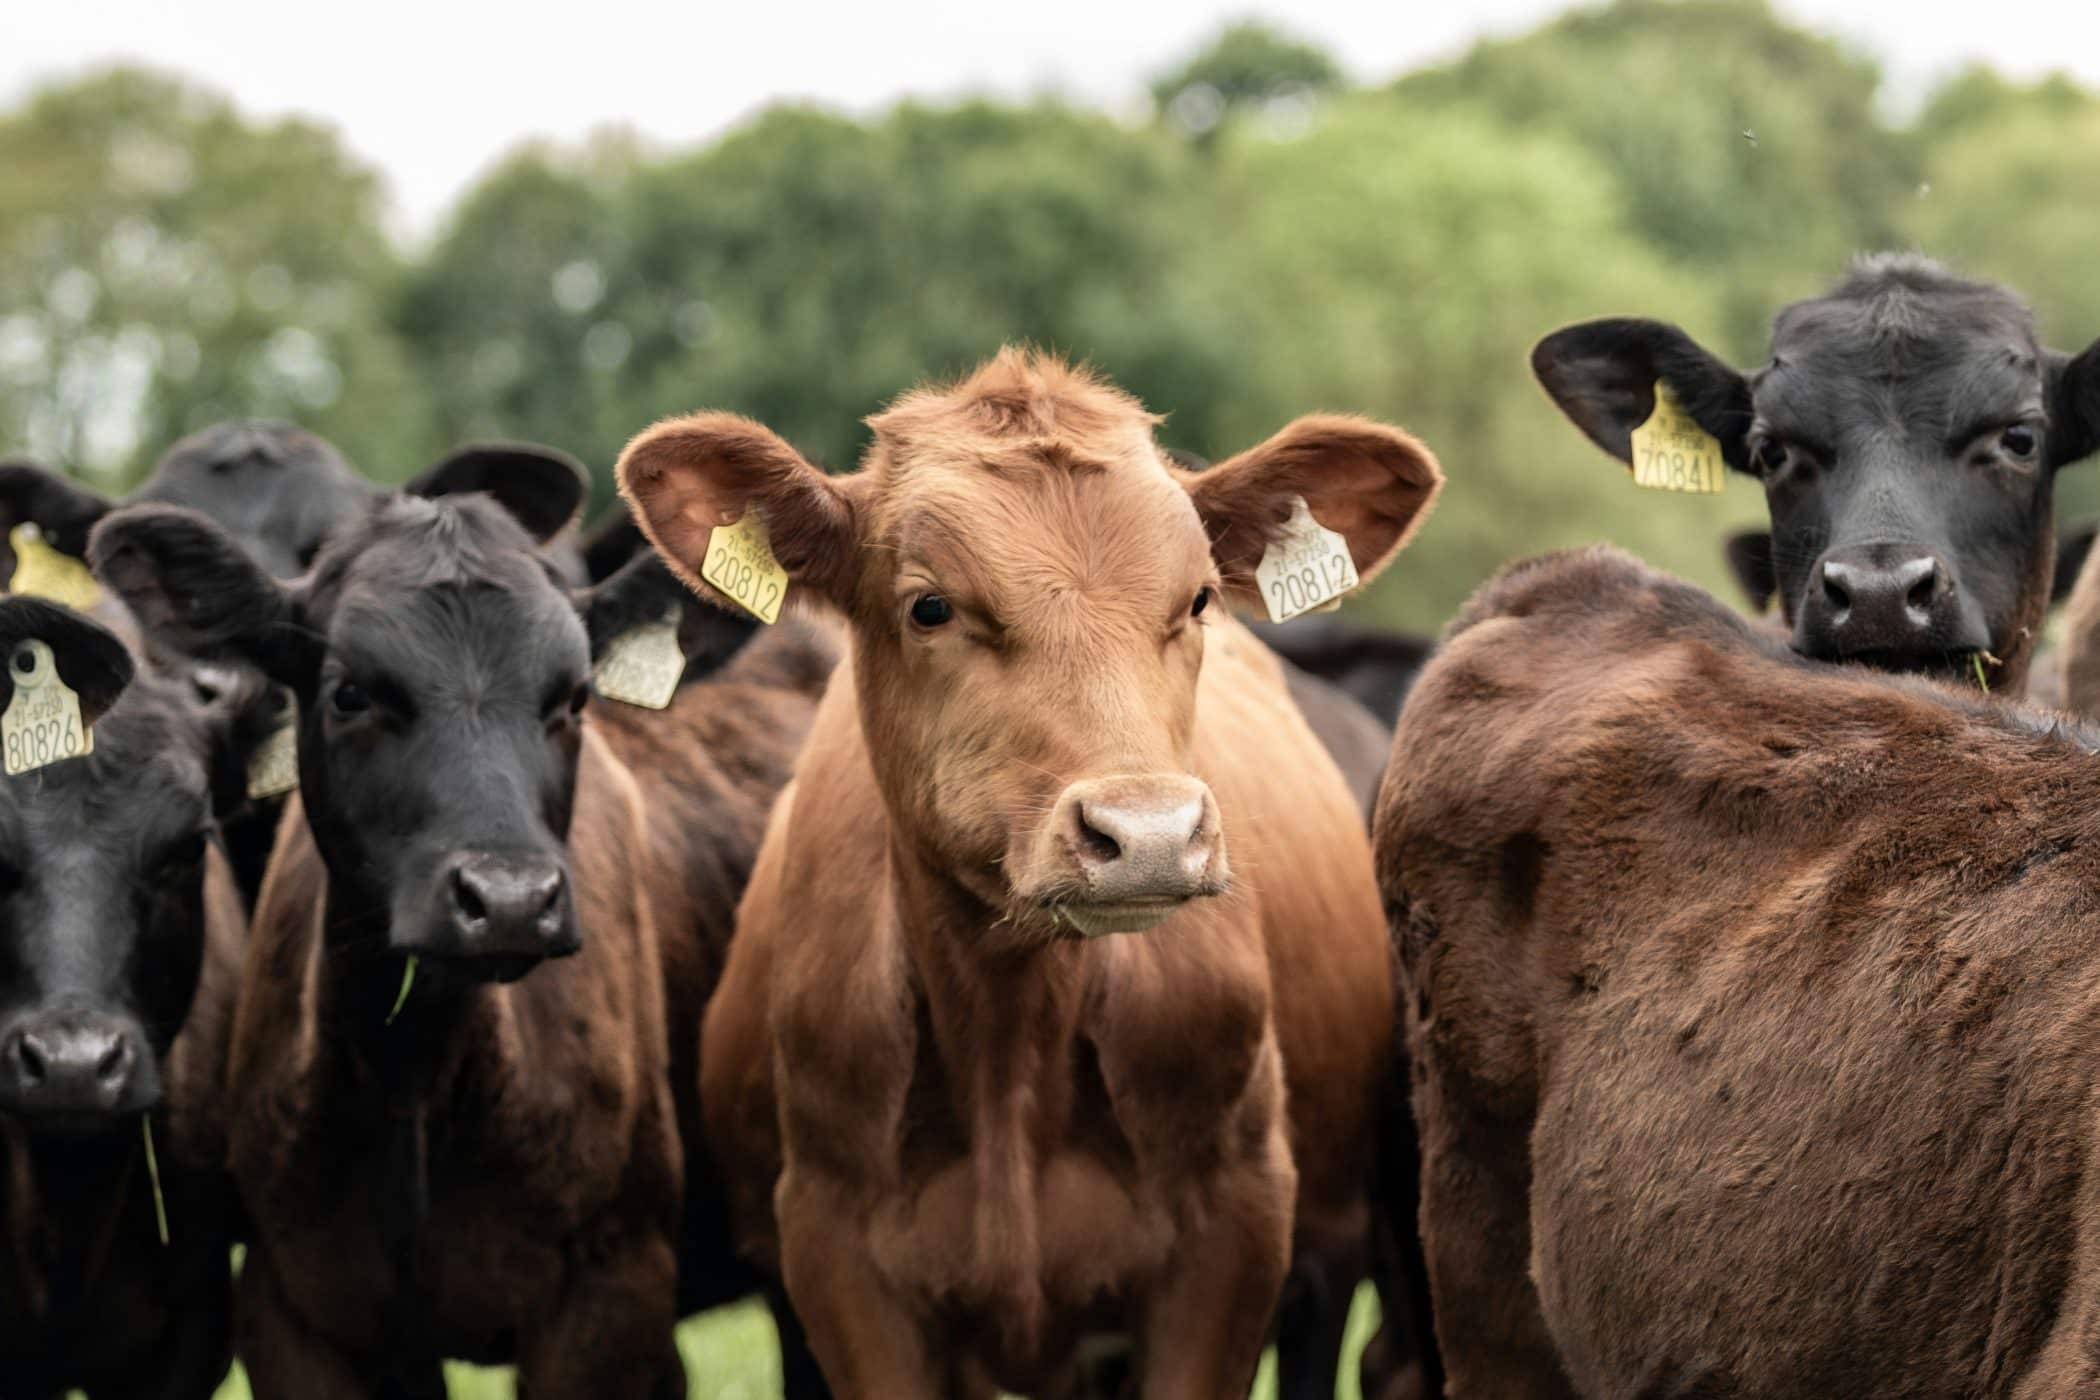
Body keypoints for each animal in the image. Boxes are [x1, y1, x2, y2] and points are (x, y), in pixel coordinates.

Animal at [89, 453, 837, 1396]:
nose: (509, 898)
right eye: (349, 694)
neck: (416, 1073)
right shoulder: (296, 1315)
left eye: (575, 699)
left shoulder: (611, 1303)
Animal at [618, 347, 1441, 1400]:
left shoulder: (1234, 1240)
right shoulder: (837, 1267)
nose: (1150, 833)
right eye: (930, 605)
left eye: (1198, 600)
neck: (1010, 1038)